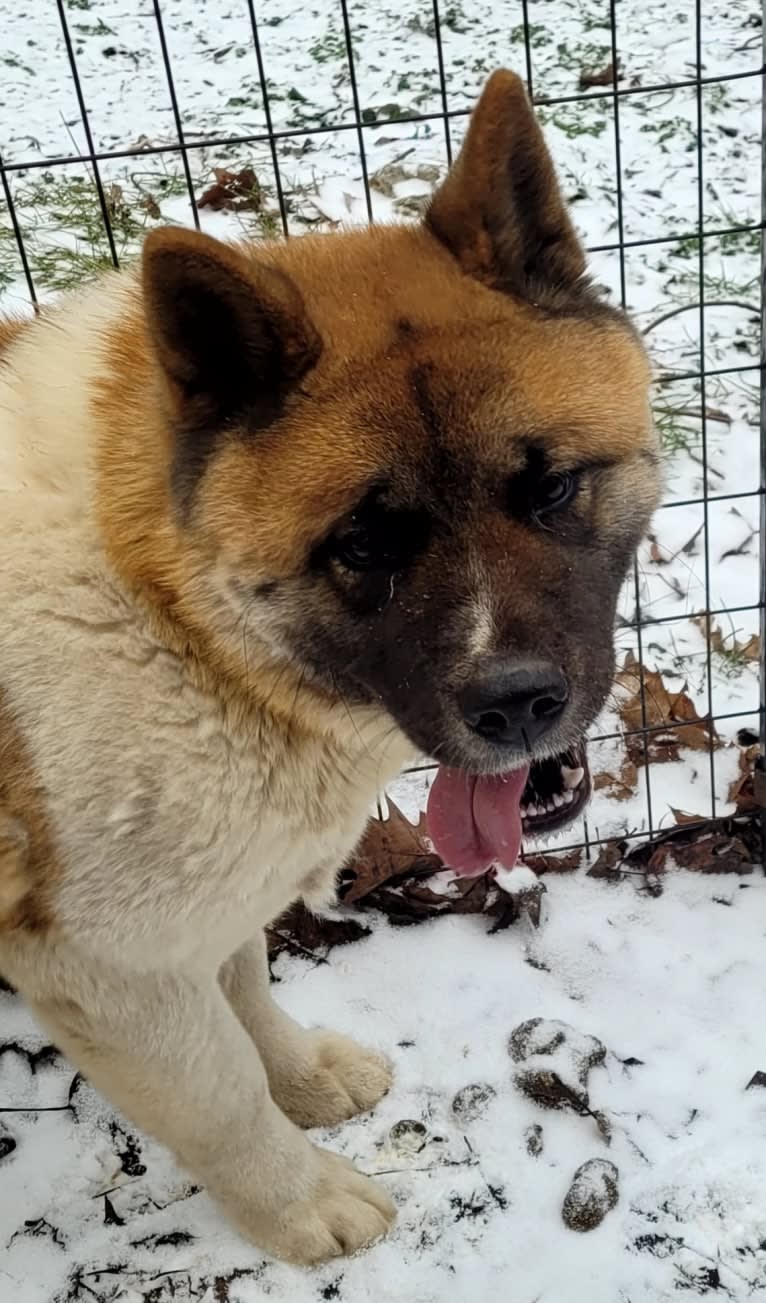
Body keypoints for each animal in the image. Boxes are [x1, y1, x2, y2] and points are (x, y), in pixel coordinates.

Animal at [0, 73, 661, 1261]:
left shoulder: (211, 891)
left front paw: (302, 1080)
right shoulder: (106, 966)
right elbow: (218, 1090)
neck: (174, 610)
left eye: (548, 489)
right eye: (365, 546)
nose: (517, 704)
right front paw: (300, 1202)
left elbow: (246, 993)